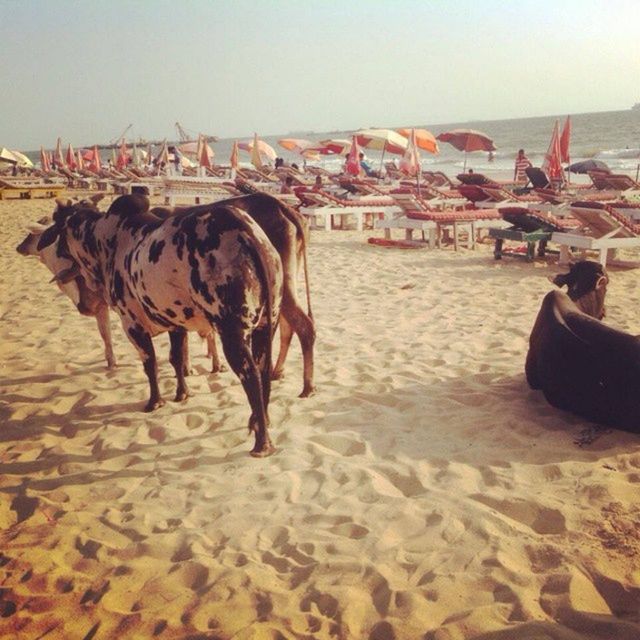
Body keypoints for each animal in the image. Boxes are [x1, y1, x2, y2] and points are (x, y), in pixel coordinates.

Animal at [37, 195, 282, 456]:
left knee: (252, 376)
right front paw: (181, 393)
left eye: (60, 230)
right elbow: (176, 359)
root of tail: (245, 230)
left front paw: (154, 401)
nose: (57, 251)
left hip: (232, 332)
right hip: (267, 324)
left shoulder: (132, 324)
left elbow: (150, 364)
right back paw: (261, 421)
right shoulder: (176, 324)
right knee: (263, 370)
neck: (106, 239)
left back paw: (262, 443)